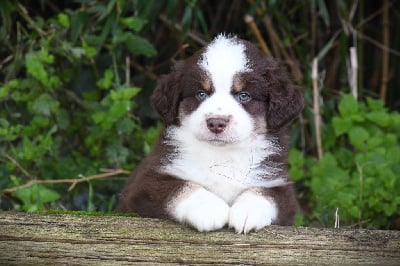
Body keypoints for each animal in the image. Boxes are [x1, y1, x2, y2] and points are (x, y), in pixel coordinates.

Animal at [115, 33, 304, 233]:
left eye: (244, 95)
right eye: (201, 94)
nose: (216, 123)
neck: (221, 154)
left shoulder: (279, 185)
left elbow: (265, 194)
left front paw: (247, 212)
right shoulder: (146, 183)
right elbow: (181, 187)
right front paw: (209, 209)